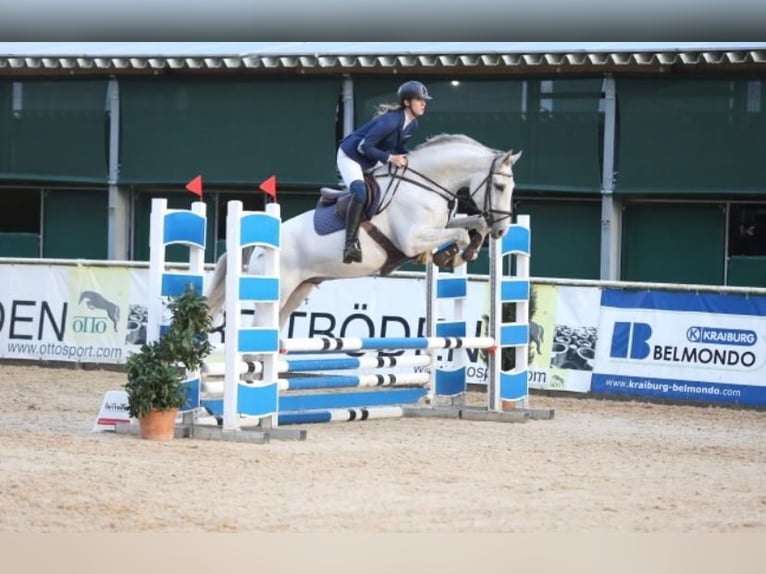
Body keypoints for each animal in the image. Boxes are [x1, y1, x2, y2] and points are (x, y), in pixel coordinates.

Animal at [207, 134, 524, 328]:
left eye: (512, 188)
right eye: (499, 186)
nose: (502, 229)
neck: (426, 184)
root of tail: (258, 248)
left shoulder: (439, 225)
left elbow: (473, 224)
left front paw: (468, 248)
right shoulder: (412, 239)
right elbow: (457, 235)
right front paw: (453, 256)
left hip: (299, 290)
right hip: (277, 291)